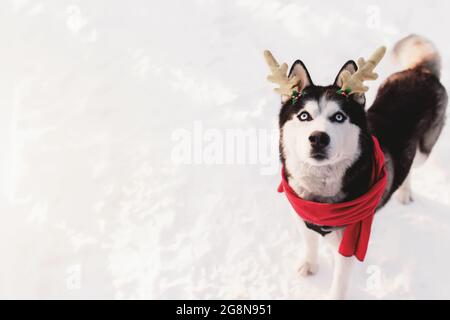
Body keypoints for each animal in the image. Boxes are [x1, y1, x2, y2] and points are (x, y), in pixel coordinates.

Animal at [278, 36, 446, 298]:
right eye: (304, 116)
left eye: (338, 117)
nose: (318, 138)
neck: (319, 196)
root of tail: (420, 70)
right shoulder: (302, 216)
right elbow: (310, 242)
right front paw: (309, 265)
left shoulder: (350, 243)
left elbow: (339, 282)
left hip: (424, 151)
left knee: (413, 163)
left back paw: (404, 191)